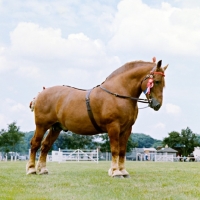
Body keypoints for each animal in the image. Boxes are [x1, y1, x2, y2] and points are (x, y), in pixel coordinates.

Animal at [26, 57, 167, 178]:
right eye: (156, 81)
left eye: (163, 84)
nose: (157, 105)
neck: (118, 93)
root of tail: (41, 93)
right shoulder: (113, 127)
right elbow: (115, 150)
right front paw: (116, 172)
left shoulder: (127, 129)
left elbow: (122, 151)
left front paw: (123, 171)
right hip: (42, 126)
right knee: (35, 144)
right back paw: (31, 169)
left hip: (56, 128)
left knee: (45, 146)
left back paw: (43, 170)